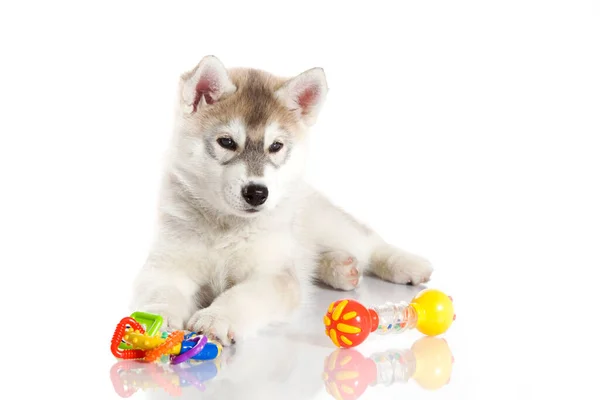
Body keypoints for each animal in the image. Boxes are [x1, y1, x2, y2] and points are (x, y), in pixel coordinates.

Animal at [131, 54, 432, 346]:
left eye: (275, 146)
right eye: (226, 142)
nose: (257, 193)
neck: (226, 226)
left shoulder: (273, 274)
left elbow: (244, 295)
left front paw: (217, 317)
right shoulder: (165, 266)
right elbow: (162, 291)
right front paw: (157, 318)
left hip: (327, 223)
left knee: (369, 244)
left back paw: (405, 264)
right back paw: (340, 267)